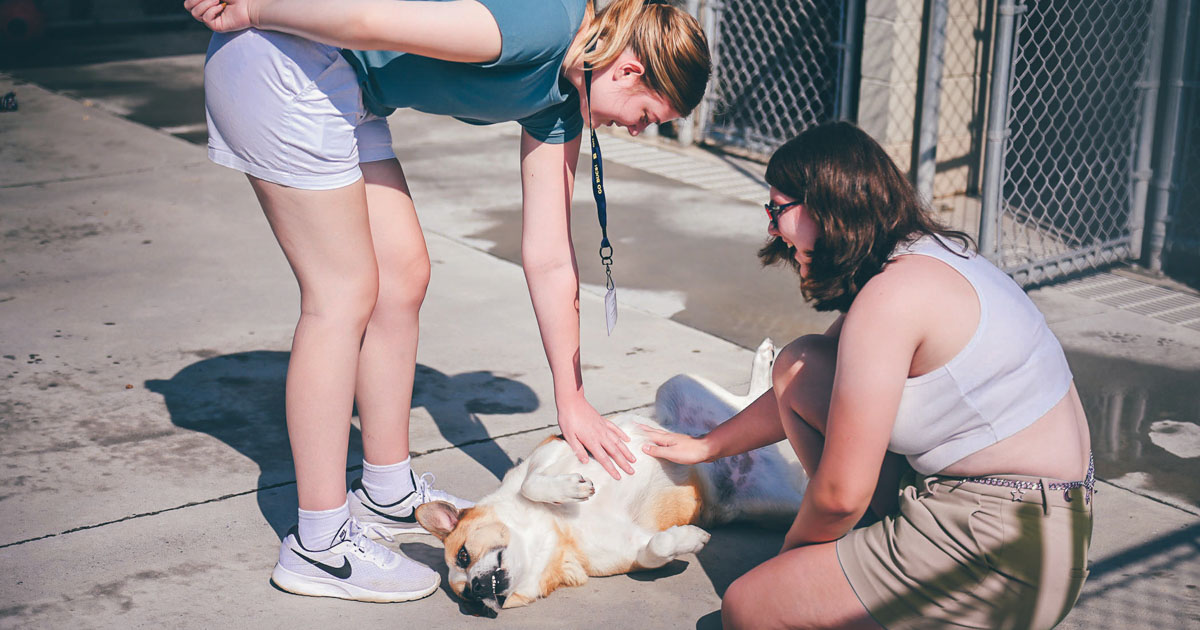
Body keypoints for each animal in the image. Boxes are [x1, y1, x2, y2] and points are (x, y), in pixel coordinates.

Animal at [412, 338, 806, 609]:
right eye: (467, 598)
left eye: (463, 555)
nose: (478, 589)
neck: (556, 529)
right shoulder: (636, 550)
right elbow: (656, 547)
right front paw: (688, 538)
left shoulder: (559, 447)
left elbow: (530, 483)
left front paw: (569, 489)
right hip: (781, 505)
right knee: (752, 413)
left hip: (676, 384)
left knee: (749, 402)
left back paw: (766, 363)